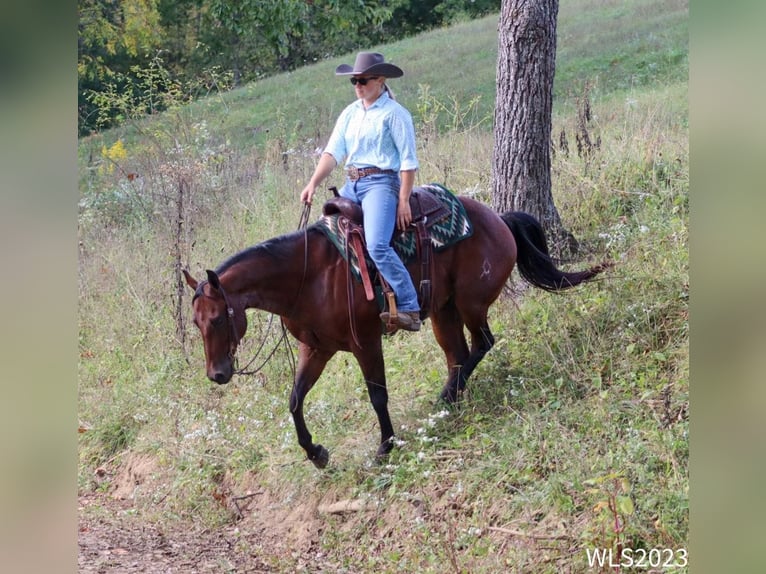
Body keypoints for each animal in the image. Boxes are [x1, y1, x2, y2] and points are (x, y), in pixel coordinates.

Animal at [183, 196, 608, 470]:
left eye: (218, 318)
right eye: (196, 322)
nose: (217, 374)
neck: (308, 277)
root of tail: (499, 219)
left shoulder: (365, 342)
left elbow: (377, 396)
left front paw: (385, 446)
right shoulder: (316, 349)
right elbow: (294, 400)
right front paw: (316, 453)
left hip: (470, 303)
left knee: (482, 343)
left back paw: (447, 396)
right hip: (443, 311)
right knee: (458, 353)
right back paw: (449, 400)